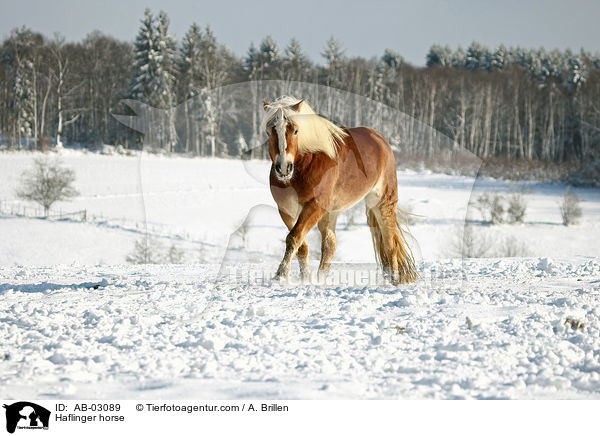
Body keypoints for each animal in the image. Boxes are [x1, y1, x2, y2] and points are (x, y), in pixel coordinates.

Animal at [262, 96, 418, 286]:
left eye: (296, 131)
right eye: (269, 132)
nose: (283, 168)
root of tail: (381, 140)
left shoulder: (314, 206)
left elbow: (293, 238)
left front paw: (280, 275)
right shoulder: (287, 210)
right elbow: (301, 245)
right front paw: (305, 279)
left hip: (383, 203)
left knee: (390, 244)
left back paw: (393, 281)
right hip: (331, 213)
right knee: (330, 245)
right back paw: (321, 281)